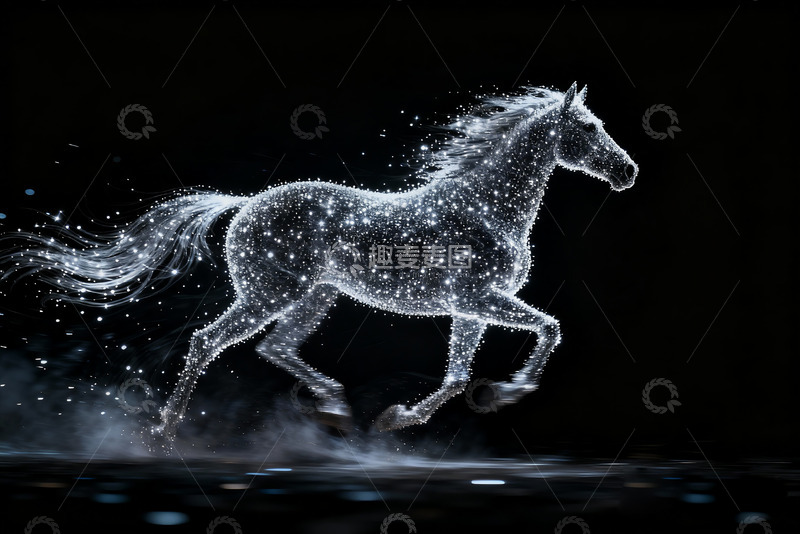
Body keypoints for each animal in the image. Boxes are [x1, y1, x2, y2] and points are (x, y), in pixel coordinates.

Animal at [1, 83, 637, 442]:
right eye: (588, 127)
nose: (627, 172)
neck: (486, 208)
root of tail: (245, 204)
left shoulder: (469, 308)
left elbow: (458, 375)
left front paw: (396, 419)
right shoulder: (479, 299)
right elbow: (550, 328)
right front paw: (508, 394)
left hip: (316, 294)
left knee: (274, 347)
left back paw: (335, 409)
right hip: (273, 292)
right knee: (211, 340)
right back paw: (166, 428)